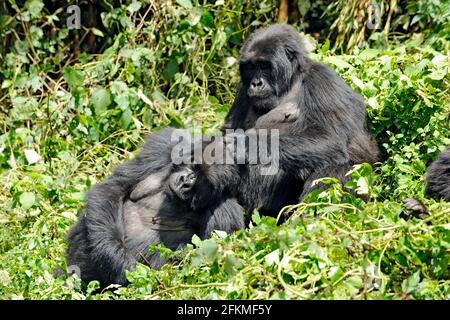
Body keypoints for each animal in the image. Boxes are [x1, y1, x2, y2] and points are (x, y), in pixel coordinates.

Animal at [66, 127, 246, 288]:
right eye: (194, 166)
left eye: (203, 180)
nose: (185, 181)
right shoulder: (164, 147)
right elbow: (112, 188)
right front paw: (118, 261)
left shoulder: (226, 213)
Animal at [223, 23, 382, 216]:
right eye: (251, 67)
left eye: (264, 65)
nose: (256, 83)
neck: (291, 80)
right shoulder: (242, 89)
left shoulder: (322, 79)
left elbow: (328, 139)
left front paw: (245, 144)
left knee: (337, 167)